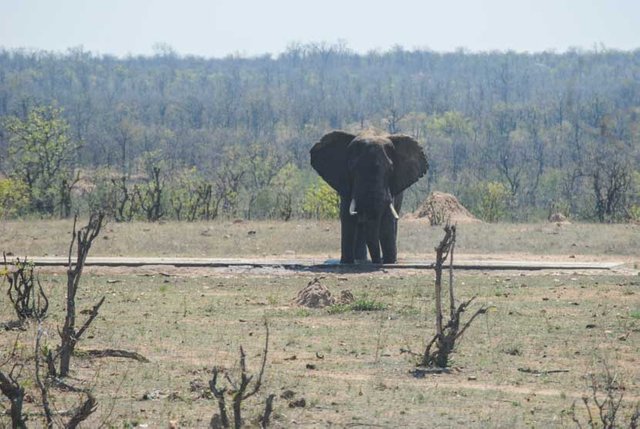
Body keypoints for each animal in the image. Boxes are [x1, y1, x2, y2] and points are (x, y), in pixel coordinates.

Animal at [312, 129, 428, 262]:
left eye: (390, 169)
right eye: (352, 169)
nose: (377, 261)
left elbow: (387, 220)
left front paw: (389, 262)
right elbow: (347, 217)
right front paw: (347, 262)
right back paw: (360, 259)